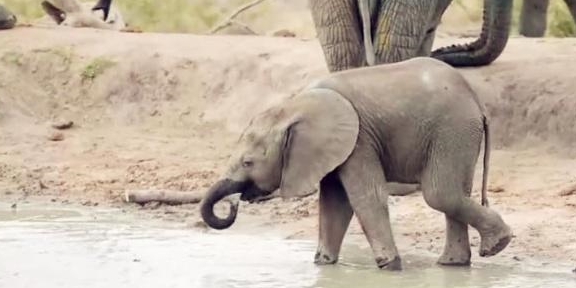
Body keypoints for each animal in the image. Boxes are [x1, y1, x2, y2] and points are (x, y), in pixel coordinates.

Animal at [201, 56, 512, 270]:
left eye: (248, 162)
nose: (233, 204)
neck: (294, 106)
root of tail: (476, 100)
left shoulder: (359, 139)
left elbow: (365, 197)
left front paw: (390, 266)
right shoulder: (331, 148)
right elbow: (333, 203)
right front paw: (323, 264)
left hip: (452, 128)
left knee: (440, 193)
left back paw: (497, 245)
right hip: (457, 132)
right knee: (455, 192)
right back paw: (455, 263)